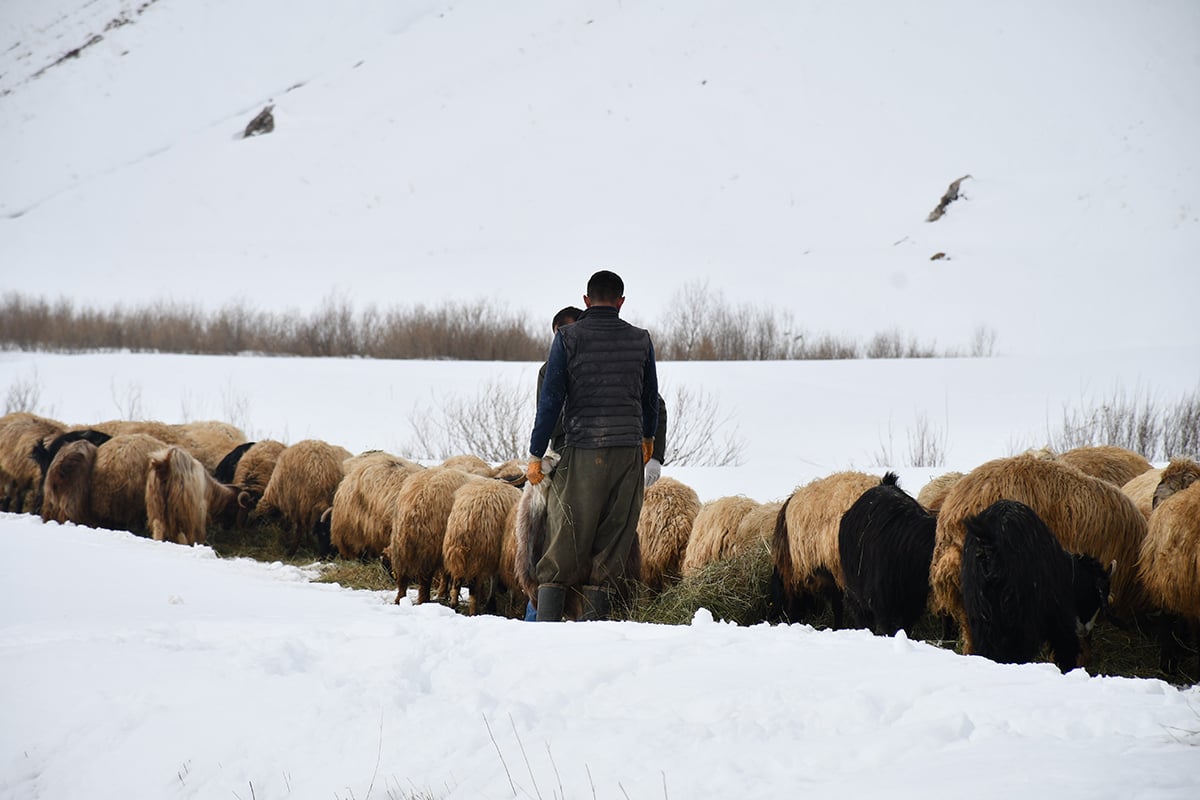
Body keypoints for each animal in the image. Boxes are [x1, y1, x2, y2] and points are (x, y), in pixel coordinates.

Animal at [441, 479, 516, 618]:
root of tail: (467, 520)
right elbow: (494, 578)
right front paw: (491, 604)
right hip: (478, 556)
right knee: (473, 590)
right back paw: (473, 613)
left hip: (456, 553)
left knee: (456, 584)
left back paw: (454, 606)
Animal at [960, 503, 1108, 671]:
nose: (1086, 630)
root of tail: (989, 541)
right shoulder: (1060, 614)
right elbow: (1066, 646)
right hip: (1022, 616)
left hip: (981, 612)